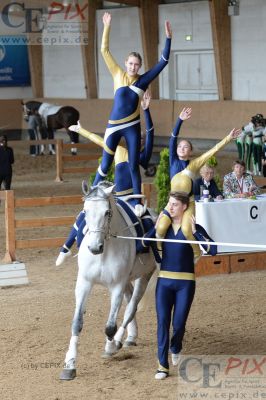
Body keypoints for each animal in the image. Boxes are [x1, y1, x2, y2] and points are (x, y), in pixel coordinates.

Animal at [59, 183, 156, 380]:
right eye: (85, 211)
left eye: (107, 212)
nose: (95, 247)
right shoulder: (84, 283)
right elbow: (77, 323)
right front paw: (70, 364)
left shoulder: (117, 286)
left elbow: (110, 326)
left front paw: (110, 347)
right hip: (127, 281)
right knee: (130, 303)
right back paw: (130, 337)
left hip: (144, 276)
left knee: (131, 308)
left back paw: (118, 341)